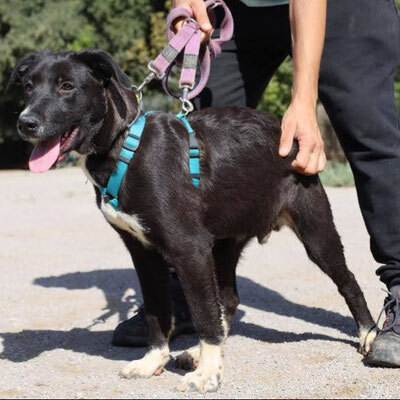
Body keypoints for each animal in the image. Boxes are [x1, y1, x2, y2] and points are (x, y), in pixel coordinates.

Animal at [10, 48, 376, 392]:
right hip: (225, 242)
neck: (125, 148)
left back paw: (369, 334)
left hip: (314, 230)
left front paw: (209, 375)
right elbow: (158, 312)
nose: (25, 123)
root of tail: (285, 130)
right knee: (228, 298)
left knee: (348, 282)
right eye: (28, 87)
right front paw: (154, 361)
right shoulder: (144, 252)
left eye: (67, 87)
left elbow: (202, 312)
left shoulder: (189, 248)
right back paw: (198, 353)